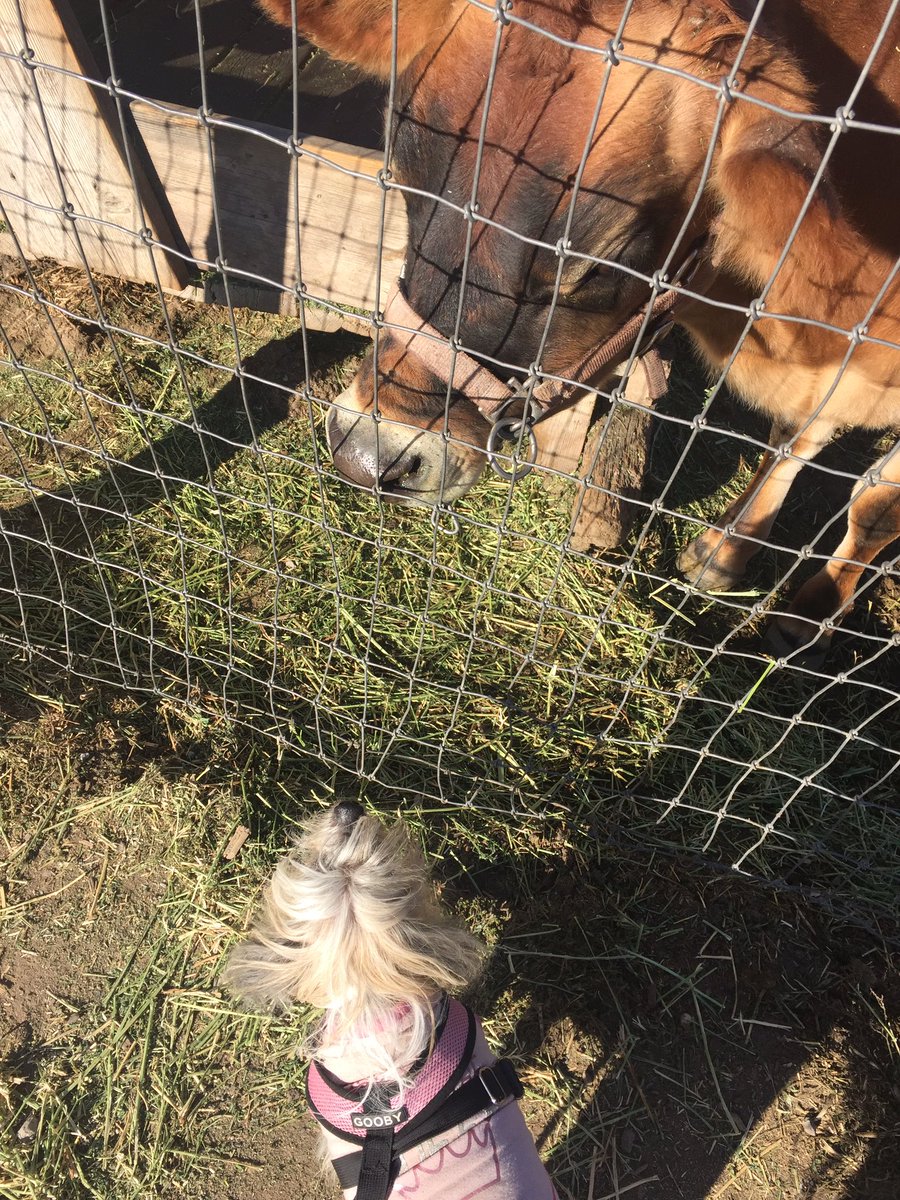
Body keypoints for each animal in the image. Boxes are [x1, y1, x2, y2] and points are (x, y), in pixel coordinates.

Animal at [256, 0, 897, 657]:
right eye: (404, 175)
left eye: (597, 266)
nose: (365, 453)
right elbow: (794, 436)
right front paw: (724, 549)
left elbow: (874, 503)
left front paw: (812, 609)